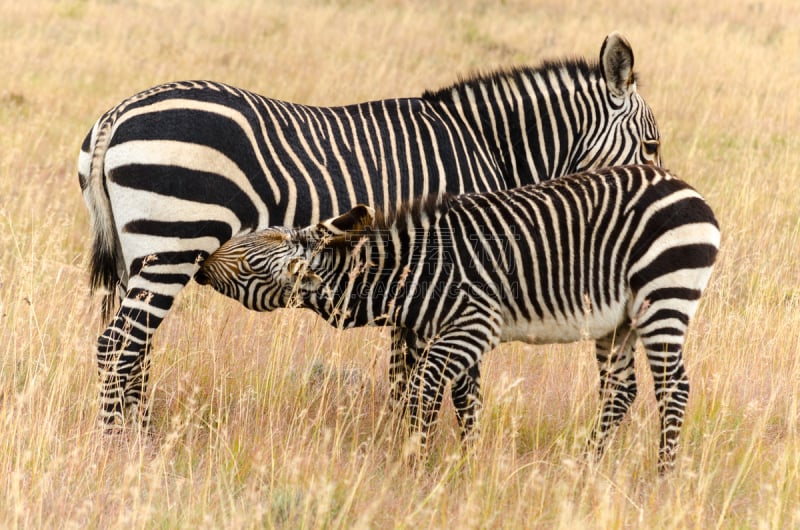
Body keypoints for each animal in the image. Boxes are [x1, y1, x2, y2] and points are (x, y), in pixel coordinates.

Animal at [78, 33, 660, 426]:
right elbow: (461, 385)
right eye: (652, 145)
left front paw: (403, 447)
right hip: (175, 241)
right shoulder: (458, 264)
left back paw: (140, 437)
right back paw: (121, 447)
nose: (660, 192)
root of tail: (117, 114)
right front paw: (457, 459)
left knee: (134, 352)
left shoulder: (422, 280)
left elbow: (406, 378)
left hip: (138, 256)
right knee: (118, 347)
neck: (486, 145)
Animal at [195, 164, 720, 470]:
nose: (199, 264)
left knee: (673, 388)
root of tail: (686, 188)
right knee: (620, 391)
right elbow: (454, 400)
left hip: (663, 295)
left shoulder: (472, 325)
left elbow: (423, 393)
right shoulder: (439, 334)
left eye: (247, 267)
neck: (407, 272)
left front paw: (416, 464)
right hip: (618, 322)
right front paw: (461, 466)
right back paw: (586, 467)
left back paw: (662, 476)